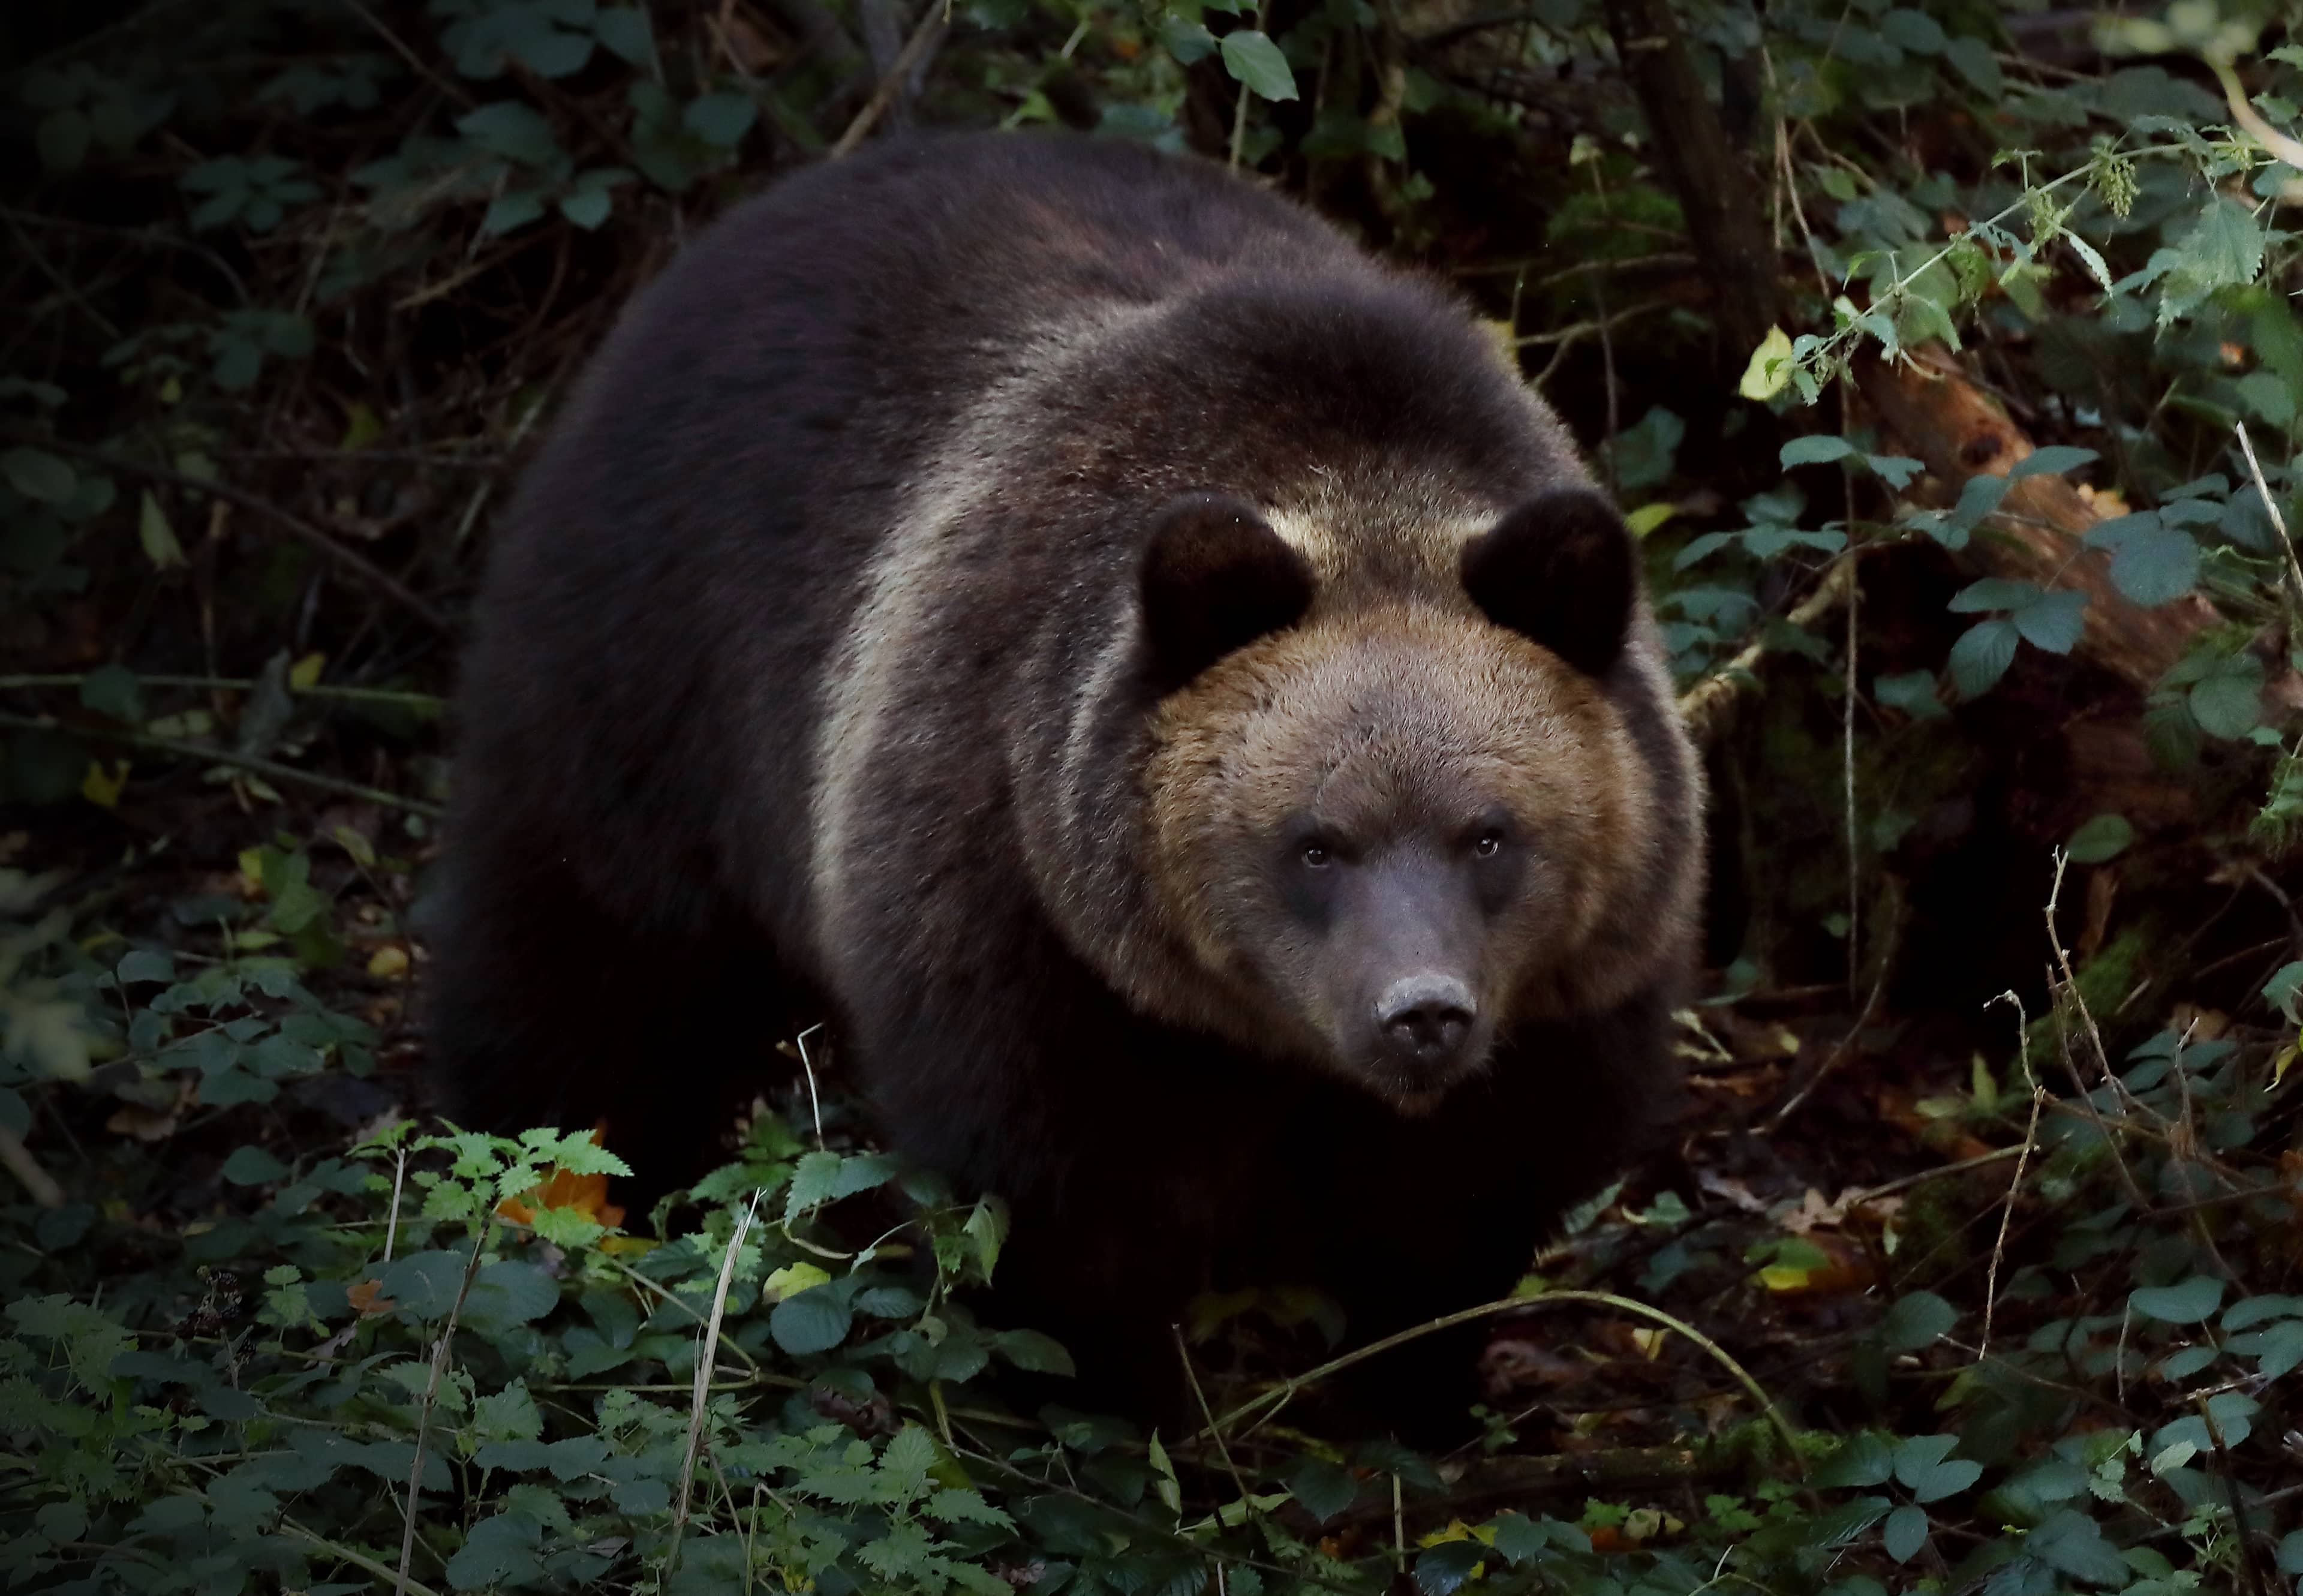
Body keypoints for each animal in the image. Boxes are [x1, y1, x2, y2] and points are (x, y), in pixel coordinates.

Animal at [427, 130, 1704, 1432]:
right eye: (1314, 842)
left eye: (1490, 832)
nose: (1422, 1012)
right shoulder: (1021, 897)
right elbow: (1057, 1206)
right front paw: (1122, 1402)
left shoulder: (1565, 995)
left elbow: (1465, 1200)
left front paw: (1403, 1388)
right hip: (652, 678)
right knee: (591, 977)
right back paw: (545, 1203)